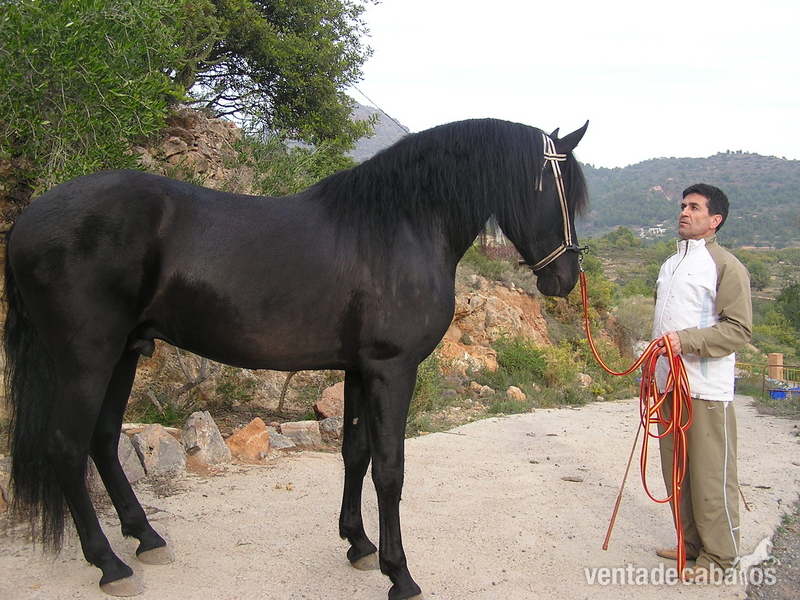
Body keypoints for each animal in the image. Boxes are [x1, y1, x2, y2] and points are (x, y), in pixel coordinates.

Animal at [2, 118, 589, 600]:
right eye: (564, 193)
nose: (565, 280)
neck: (401, 224)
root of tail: (27, 220)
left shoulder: (358, 369)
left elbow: (355, 453)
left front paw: (358, 544)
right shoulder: (392, 368)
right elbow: (390, 469)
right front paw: (400, 574)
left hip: (124, 353)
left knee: (102, 440)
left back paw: (145, 537)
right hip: (86, 359)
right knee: (66, 448)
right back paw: (109, 565)